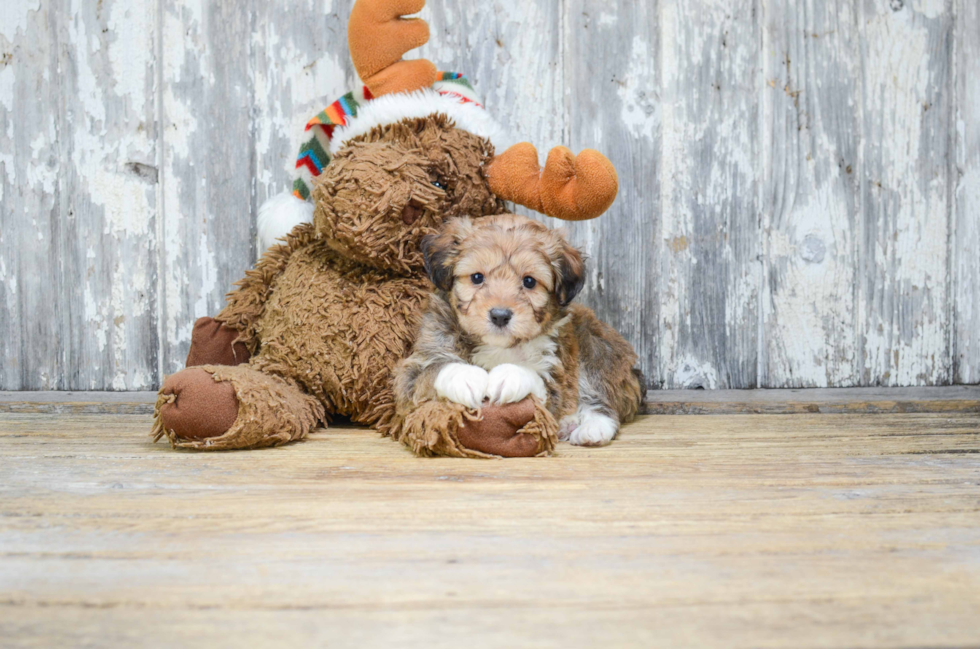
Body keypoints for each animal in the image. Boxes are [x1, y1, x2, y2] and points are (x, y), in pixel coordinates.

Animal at [394, 215, 648, 448]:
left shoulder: (556, 369)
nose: (500, 315)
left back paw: (592, 429)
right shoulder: (415, 367)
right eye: (477, 277)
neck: (499, 346)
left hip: (595, 348)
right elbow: (432, 370)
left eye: (529, 282)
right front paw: (466, 376)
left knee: (600, 397)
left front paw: (510, 376)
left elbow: (540, 381)